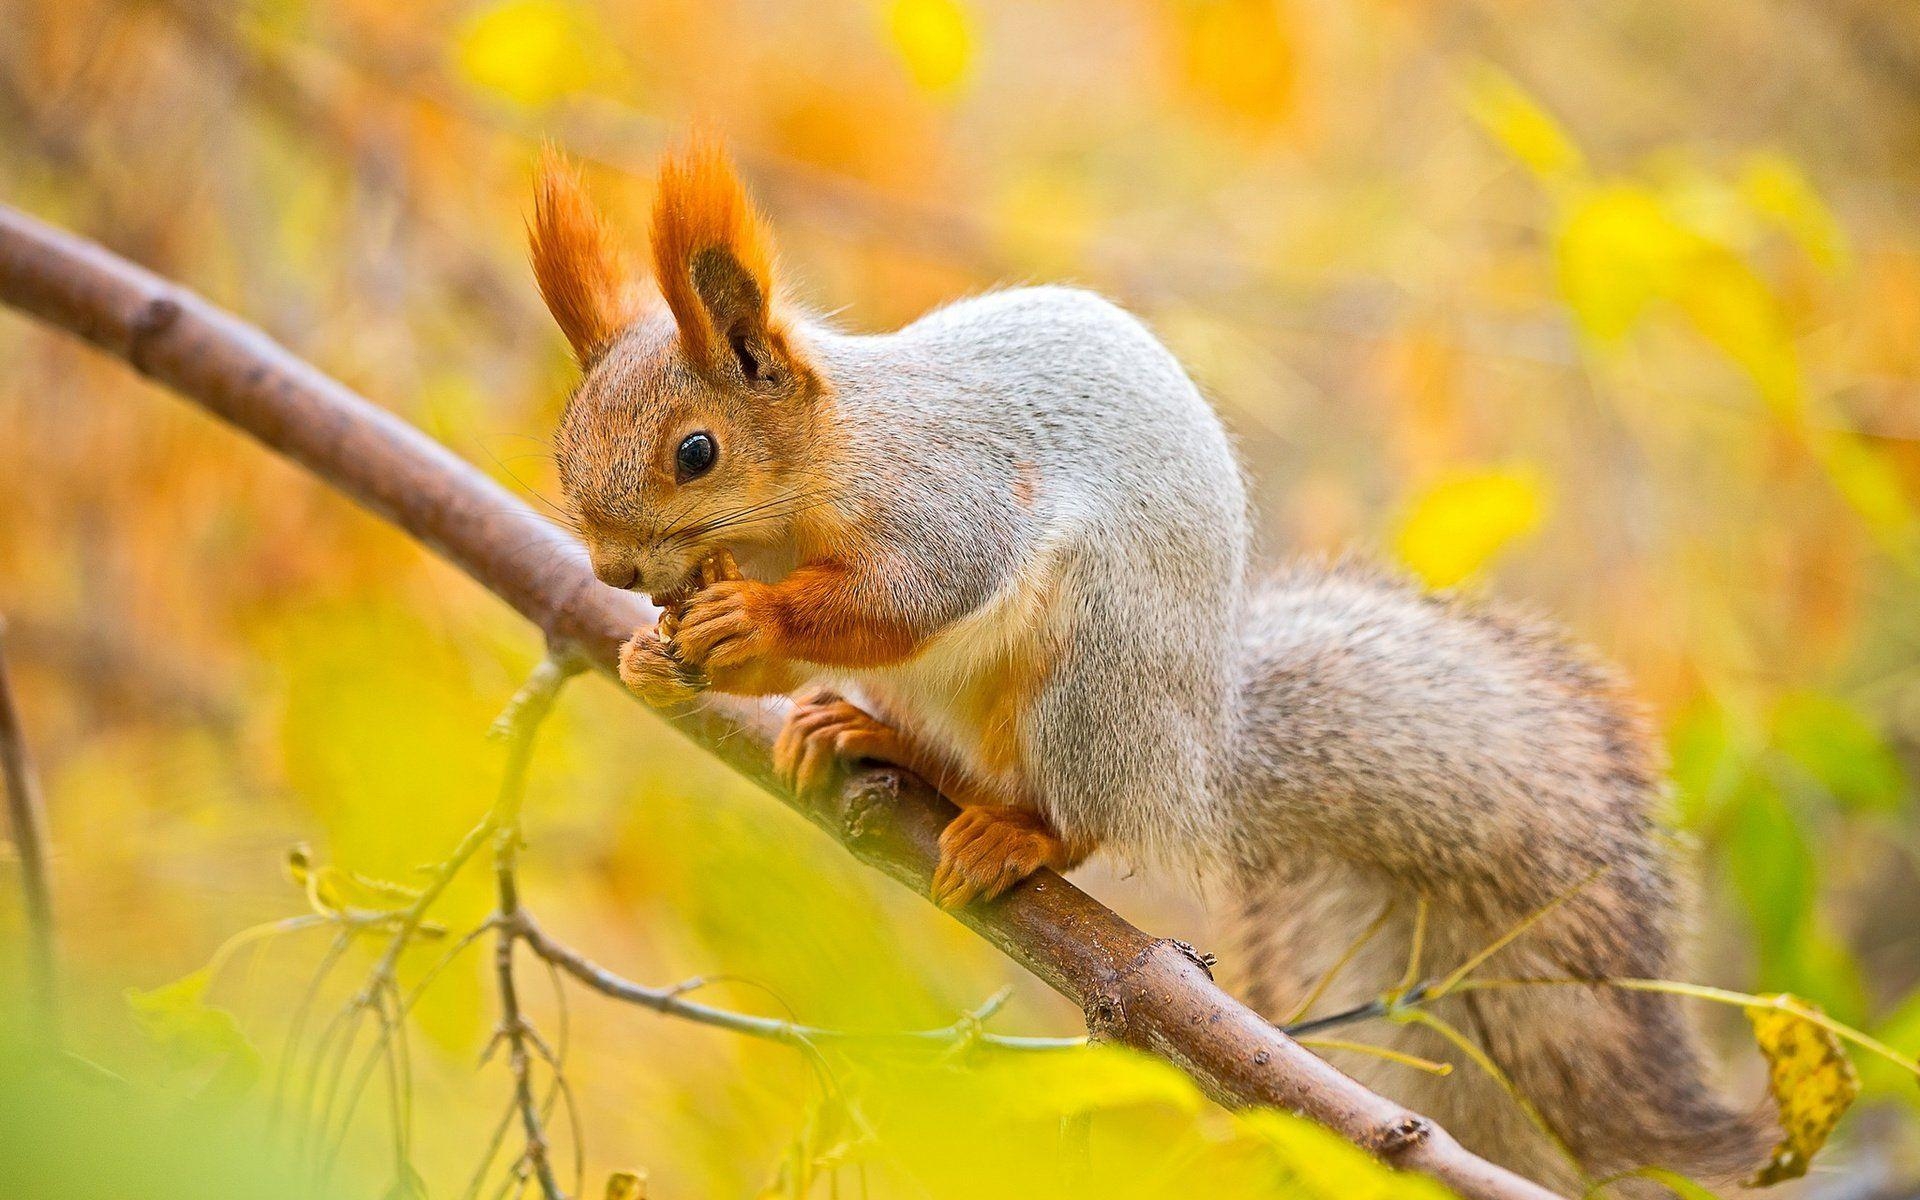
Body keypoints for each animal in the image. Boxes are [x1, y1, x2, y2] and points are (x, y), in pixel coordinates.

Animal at [526, 147, 1766, 1190]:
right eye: (566, 443)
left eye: (696, 452)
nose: (614, 567)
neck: (809, 483)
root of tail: (1194, 762)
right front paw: (648, 652)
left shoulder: (945, 496)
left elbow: (913, 594)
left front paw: (749, 618)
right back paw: (862, 734)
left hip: (1092, 674)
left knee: (1082, 814)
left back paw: (1017, 833)